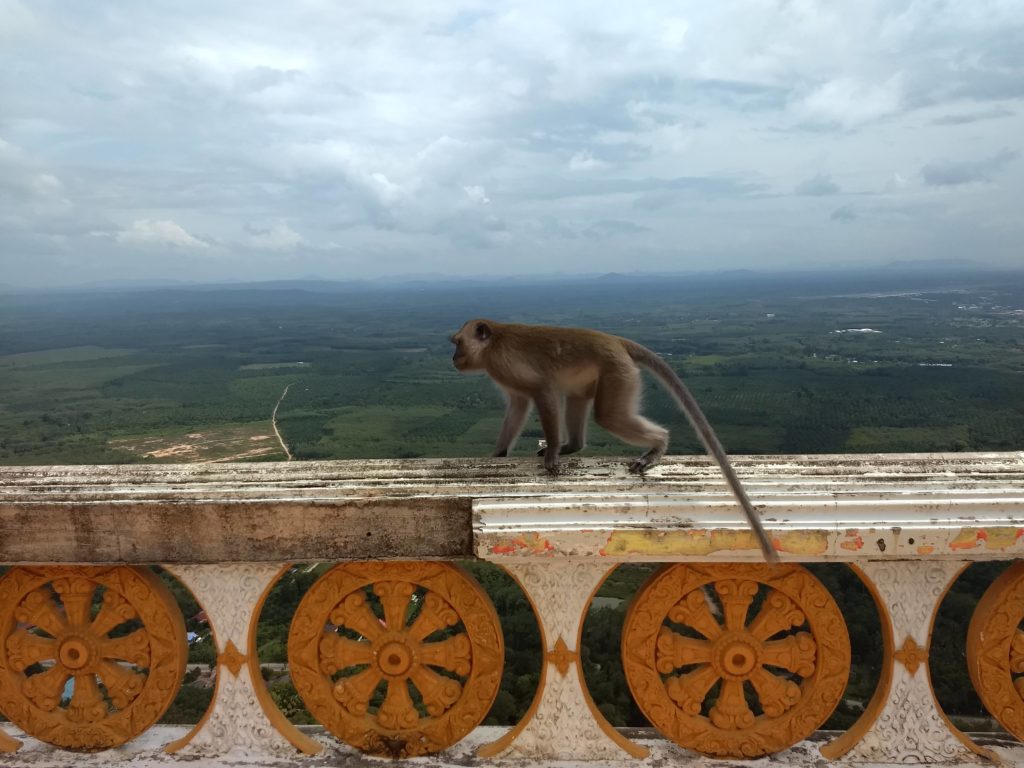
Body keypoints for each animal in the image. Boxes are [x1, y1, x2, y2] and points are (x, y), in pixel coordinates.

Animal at [448, 321, 774, 561]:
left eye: (458, 343)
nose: (453, 358)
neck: (493, 345)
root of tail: (615, 340)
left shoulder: (505, 362)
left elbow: (543, 391)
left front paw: (552, 453)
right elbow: (518, 405)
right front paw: (499, 454)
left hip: (618, 372)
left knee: (608, 415)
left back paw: (657, 446)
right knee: (579, 396)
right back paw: (573, 446)